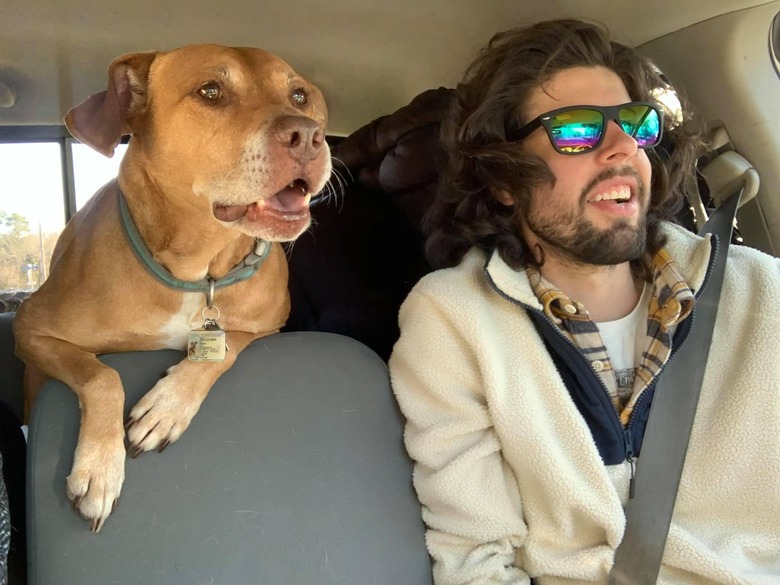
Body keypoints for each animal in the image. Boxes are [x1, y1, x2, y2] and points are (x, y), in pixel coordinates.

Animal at [12, 44, 330, 528]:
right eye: (211, 91)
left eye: (299, 95)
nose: (309, 136)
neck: (198, 271)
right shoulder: (30, 328)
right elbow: (101, 374)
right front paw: (100, 467)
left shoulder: (267, 327)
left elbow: (227, 347)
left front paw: (168, 406)